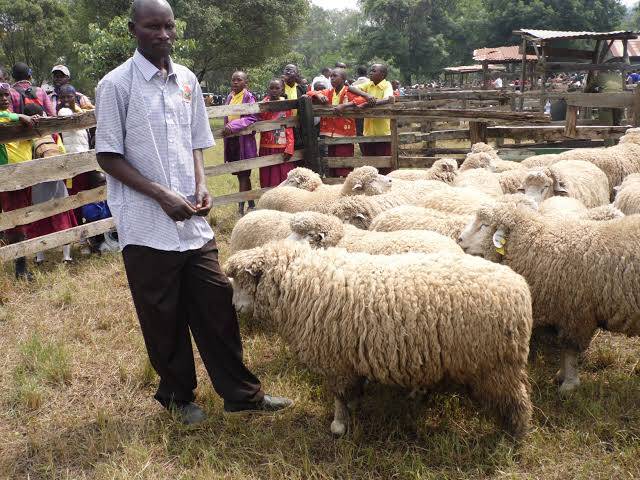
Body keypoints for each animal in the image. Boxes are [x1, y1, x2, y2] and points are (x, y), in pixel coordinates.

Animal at [225, 242, 536, 436]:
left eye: (243, 280)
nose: (234, 307)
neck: (303, 283)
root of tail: (519, 287)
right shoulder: (350, 357)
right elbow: (351, 390)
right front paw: (353, 407)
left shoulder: (336, 360)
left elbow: (339, 396)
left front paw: (339, 425)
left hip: (498, 365)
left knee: (518, 400)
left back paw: (516, 433)